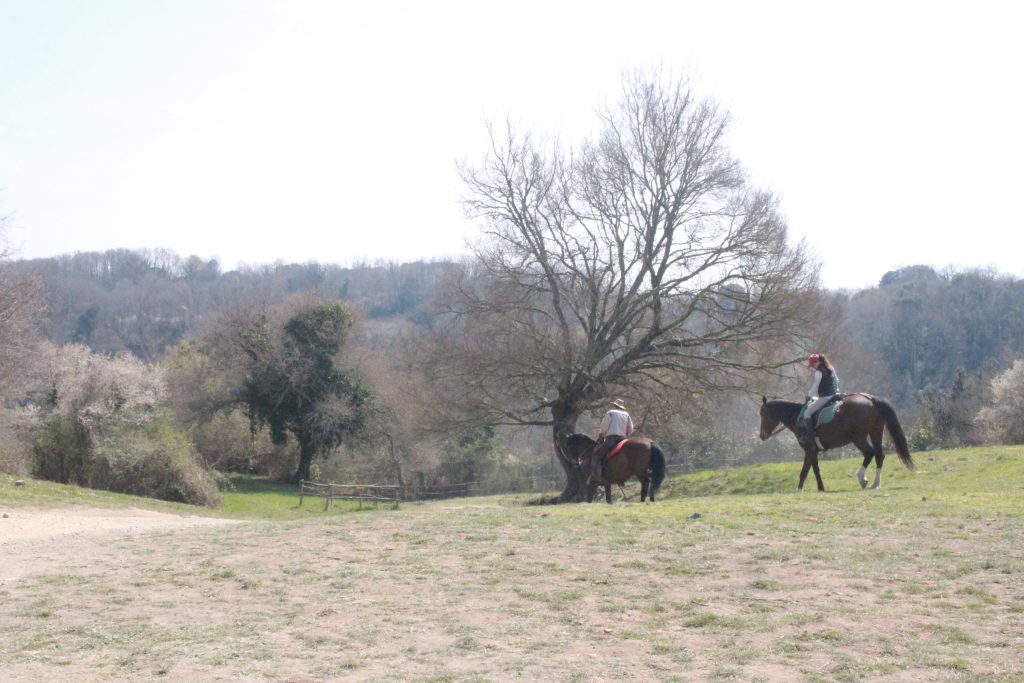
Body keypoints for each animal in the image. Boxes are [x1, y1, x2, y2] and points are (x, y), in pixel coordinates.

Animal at [759, 394, 915, 492]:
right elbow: (815, 470)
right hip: (875, 432)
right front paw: (821, 488)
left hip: (858, 438)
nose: (762, 436)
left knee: (870, 453)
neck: (798, 416)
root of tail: (870, 399)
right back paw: (875, 483)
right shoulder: (814, 451)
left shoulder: (809, 450)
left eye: (763, 414)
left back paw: (862, 478)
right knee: (879, 455)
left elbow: (804, 471)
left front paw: (799, 489)